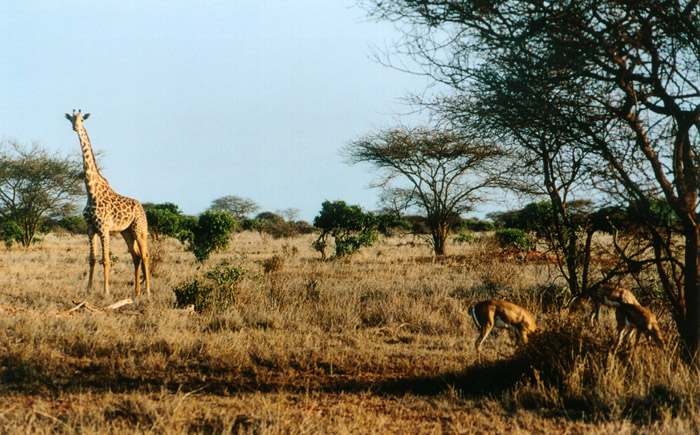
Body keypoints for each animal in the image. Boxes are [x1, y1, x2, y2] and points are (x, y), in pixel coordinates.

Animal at [65, 109, 150, 297]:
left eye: (82, 119)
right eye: (71, 119)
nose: (75, 127)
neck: (91, 191)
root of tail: (142, 208)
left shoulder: (104, 228)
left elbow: (105, 260)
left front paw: (106, 291)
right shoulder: (90, 228)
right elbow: (92, 259)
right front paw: (89, 290)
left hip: (140, 229)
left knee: (145, 255)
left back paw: (147, 291)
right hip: (127, 231)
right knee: (136, 256)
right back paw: (136, 291)